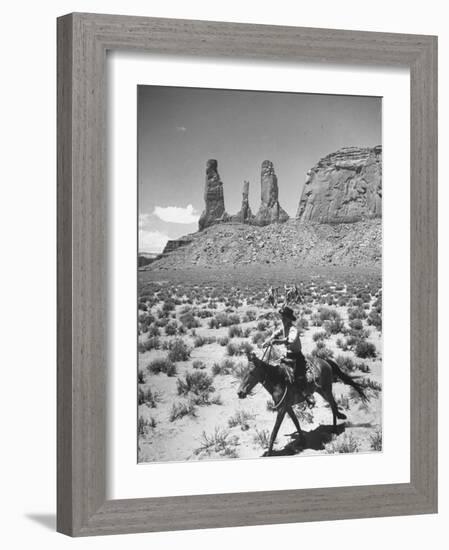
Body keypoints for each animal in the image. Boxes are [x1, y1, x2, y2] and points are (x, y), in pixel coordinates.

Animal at [236, 352, 366, 460]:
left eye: (251, 372)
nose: (240, 393)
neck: (278, 381)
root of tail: (325, 361)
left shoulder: (282, 409)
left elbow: (274, 432)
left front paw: (269, 453)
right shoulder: (287, 407)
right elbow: (296, 422)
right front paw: (302, 441)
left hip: (326, 389)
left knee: (333, 405)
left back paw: (334, 430)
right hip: (320, 390)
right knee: (333, 404)